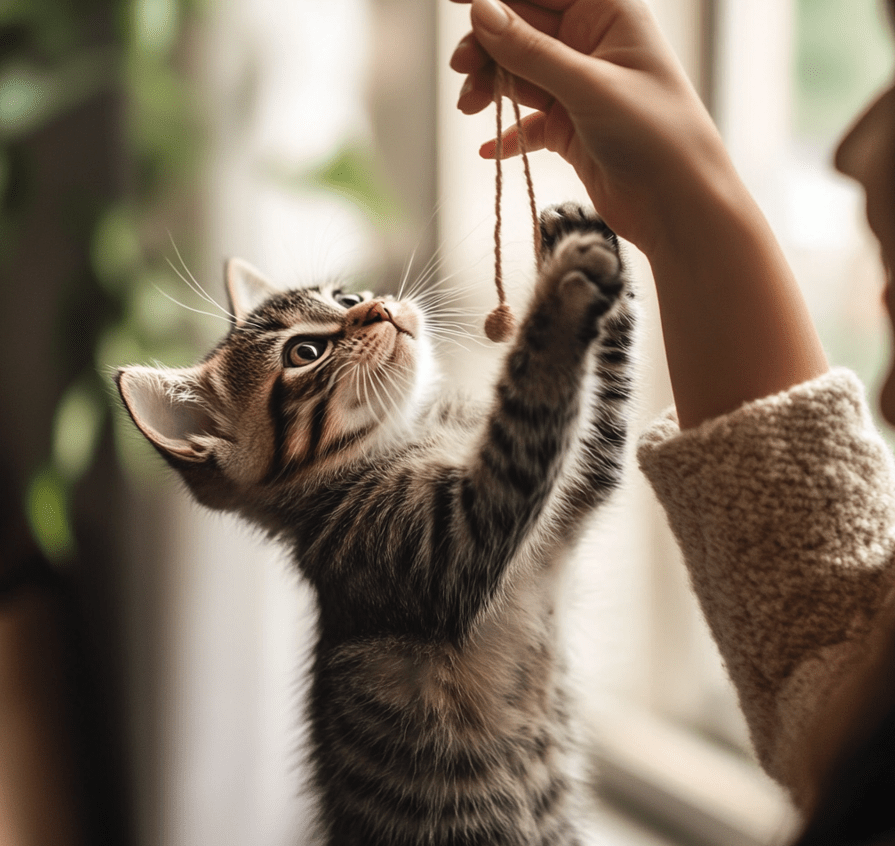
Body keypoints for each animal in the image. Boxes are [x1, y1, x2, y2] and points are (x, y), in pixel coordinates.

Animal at [117, 202, 636, 844]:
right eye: (304, 354)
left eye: (344, 297)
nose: (377, 307)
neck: (414, 434)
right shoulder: (444, 543)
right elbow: (531, 399)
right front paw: (562, 292)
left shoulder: (575, 492)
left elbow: (599, 421)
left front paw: (577, 233)